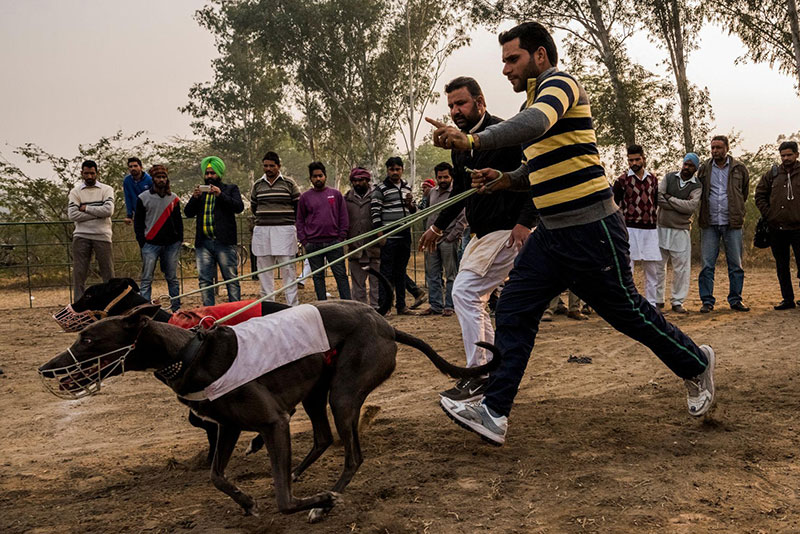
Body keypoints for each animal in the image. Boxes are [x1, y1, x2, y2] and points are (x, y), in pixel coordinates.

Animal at [40, 304, 500, 524]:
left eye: (88, 339)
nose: (45, 369)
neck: (192, 352)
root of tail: (385, 324)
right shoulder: (228, 428)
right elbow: (217, 476)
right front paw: (245, 501)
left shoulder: (274, 422)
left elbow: (282, 501)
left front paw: (317, 500)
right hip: (317, 392)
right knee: (322, 438)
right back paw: (299, 473)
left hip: (342, 395)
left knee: (352, 454)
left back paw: (324, 501)